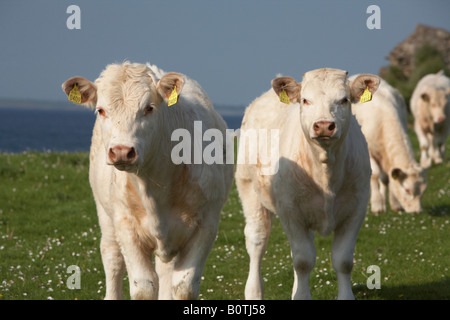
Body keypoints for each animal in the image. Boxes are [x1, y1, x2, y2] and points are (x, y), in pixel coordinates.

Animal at [62, 62, 234, 300]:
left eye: (149, 108)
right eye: (101, 110)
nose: (121, 151)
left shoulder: (207, 224)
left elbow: (183, 286)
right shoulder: (125, 225)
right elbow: (143, 287)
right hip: (105, 214)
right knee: (112, 258)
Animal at [236, 68, 380, 300]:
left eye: (344, 100)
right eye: (305, 100)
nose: (323, 125)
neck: (325, 173)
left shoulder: (356, 210)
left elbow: (343, 260)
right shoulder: (290, 212)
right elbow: (303, 261)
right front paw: (301, 295)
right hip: (249, 190)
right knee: (257, 241)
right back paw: (254, 292)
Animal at [352, 76, 426, 214]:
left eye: (423, 191)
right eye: (407, 190)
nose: (417, 211)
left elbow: (387, 178)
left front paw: (393, 204)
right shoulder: (369, 151)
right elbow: (375, 174)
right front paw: (377, 206)